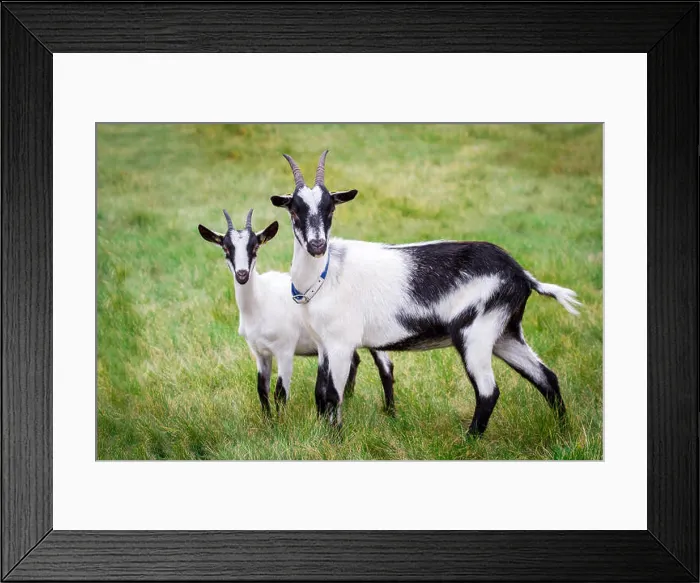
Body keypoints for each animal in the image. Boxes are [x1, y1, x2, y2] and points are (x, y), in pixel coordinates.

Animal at [198, 208, 395, 415]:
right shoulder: (259, 352)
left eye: (255, 247)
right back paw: (348, 398)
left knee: (385, 367)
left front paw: (281, 421)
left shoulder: (285, 349)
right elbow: (262, 390)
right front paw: (268, 420)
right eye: (226, 249)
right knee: (354, 360)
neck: (260, 301)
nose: (242, 275)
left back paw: (390, 411)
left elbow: (280, 393)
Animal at [270, 151, 581, 434]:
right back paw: (563, 430)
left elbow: (333, 395)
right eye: (295, 210)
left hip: (475, 331)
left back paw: (468, 441)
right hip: (506, 333)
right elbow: (320, 394)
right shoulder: (324, 343)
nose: (317, 245)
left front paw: (336, 439)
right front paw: (322, 433)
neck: (326, 274)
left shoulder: (341, 342)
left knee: (488, 391)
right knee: (546, 377)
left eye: (331, 210)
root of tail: (521, 274)